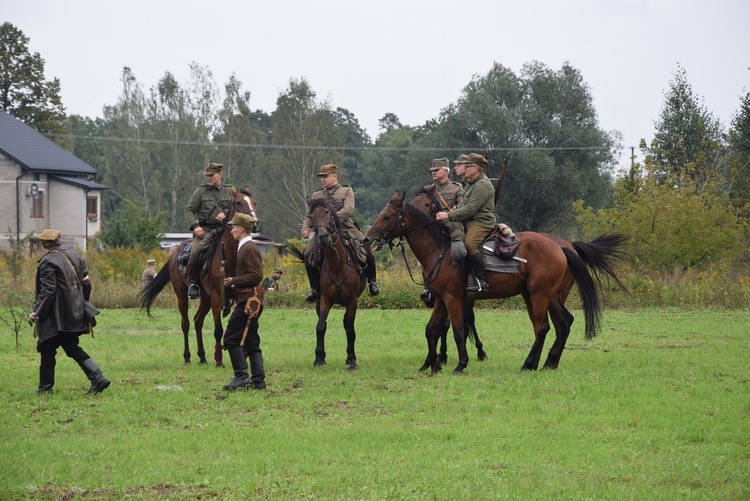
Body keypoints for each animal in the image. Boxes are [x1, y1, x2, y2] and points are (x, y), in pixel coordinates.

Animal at [140, 187, 258, 364]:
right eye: (238, 202)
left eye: (254, 202)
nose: (255, 224)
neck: (229, 255)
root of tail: (175, 253)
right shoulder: (216, 297)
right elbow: (218, 330)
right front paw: (219, 360)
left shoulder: (236, 296)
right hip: (183, 295)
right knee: (186, 323)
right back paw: (187, 357)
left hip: (205, 298)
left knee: (198, 321)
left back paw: (202, 356)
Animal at [288, 197, 368, 370]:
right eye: (312, 216)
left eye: (327, 212)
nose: (323, 236)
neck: (337, 264)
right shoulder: (325, 299)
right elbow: (321, 326)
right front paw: (319, 358)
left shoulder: (352, 301)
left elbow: (350, 329)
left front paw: (352, 359)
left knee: (347, 324)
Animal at [366, 189, 628, 374]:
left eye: (387, 216)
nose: (368, 239)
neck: (441, 250)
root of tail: (562, 246)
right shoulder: (441, 299)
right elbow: (431, 329)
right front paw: (431, 365)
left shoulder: (453, 299)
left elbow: (458, 330)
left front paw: (460, 364)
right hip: (544, 296)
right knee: (561, 323)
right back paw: (546, 363)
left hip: (540, 295)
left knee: (543, 327)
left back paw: (528, 364)